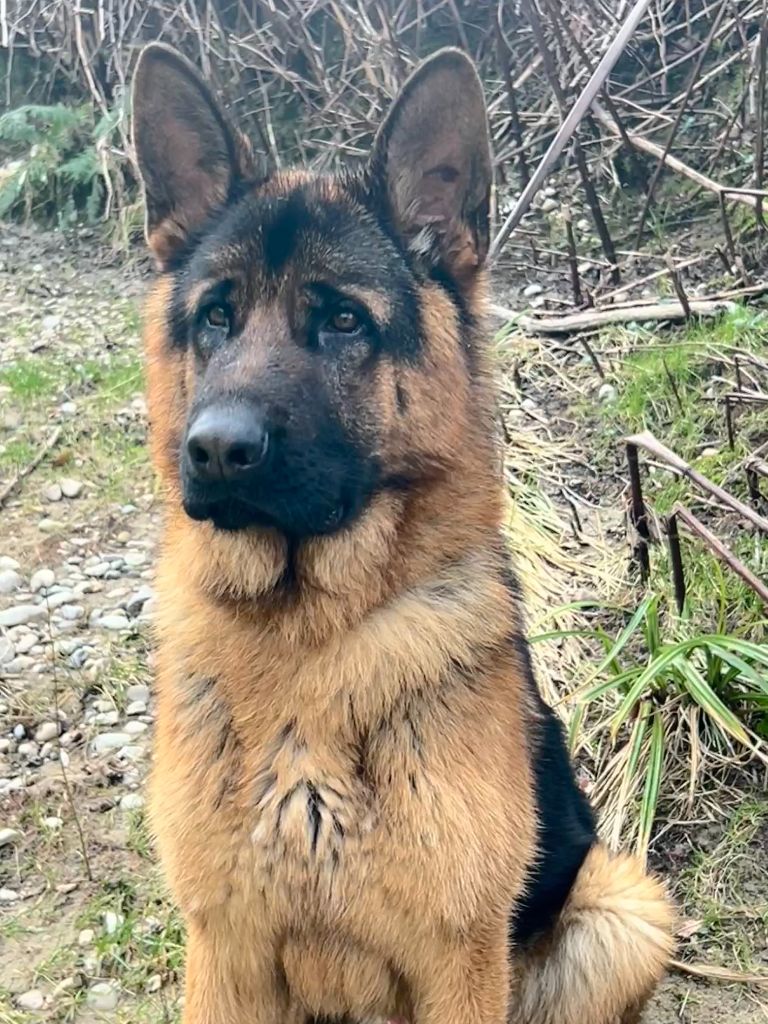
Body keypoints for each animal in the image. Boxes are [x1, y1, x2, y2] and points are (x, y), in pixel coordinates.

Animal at [135, 44, 675, 1024]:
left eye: (344, 319)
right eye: (216, 316)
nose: (217, 449)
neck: (306, 644)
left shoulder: (457, 959)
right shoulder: (224, 956)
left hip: (625, 911)